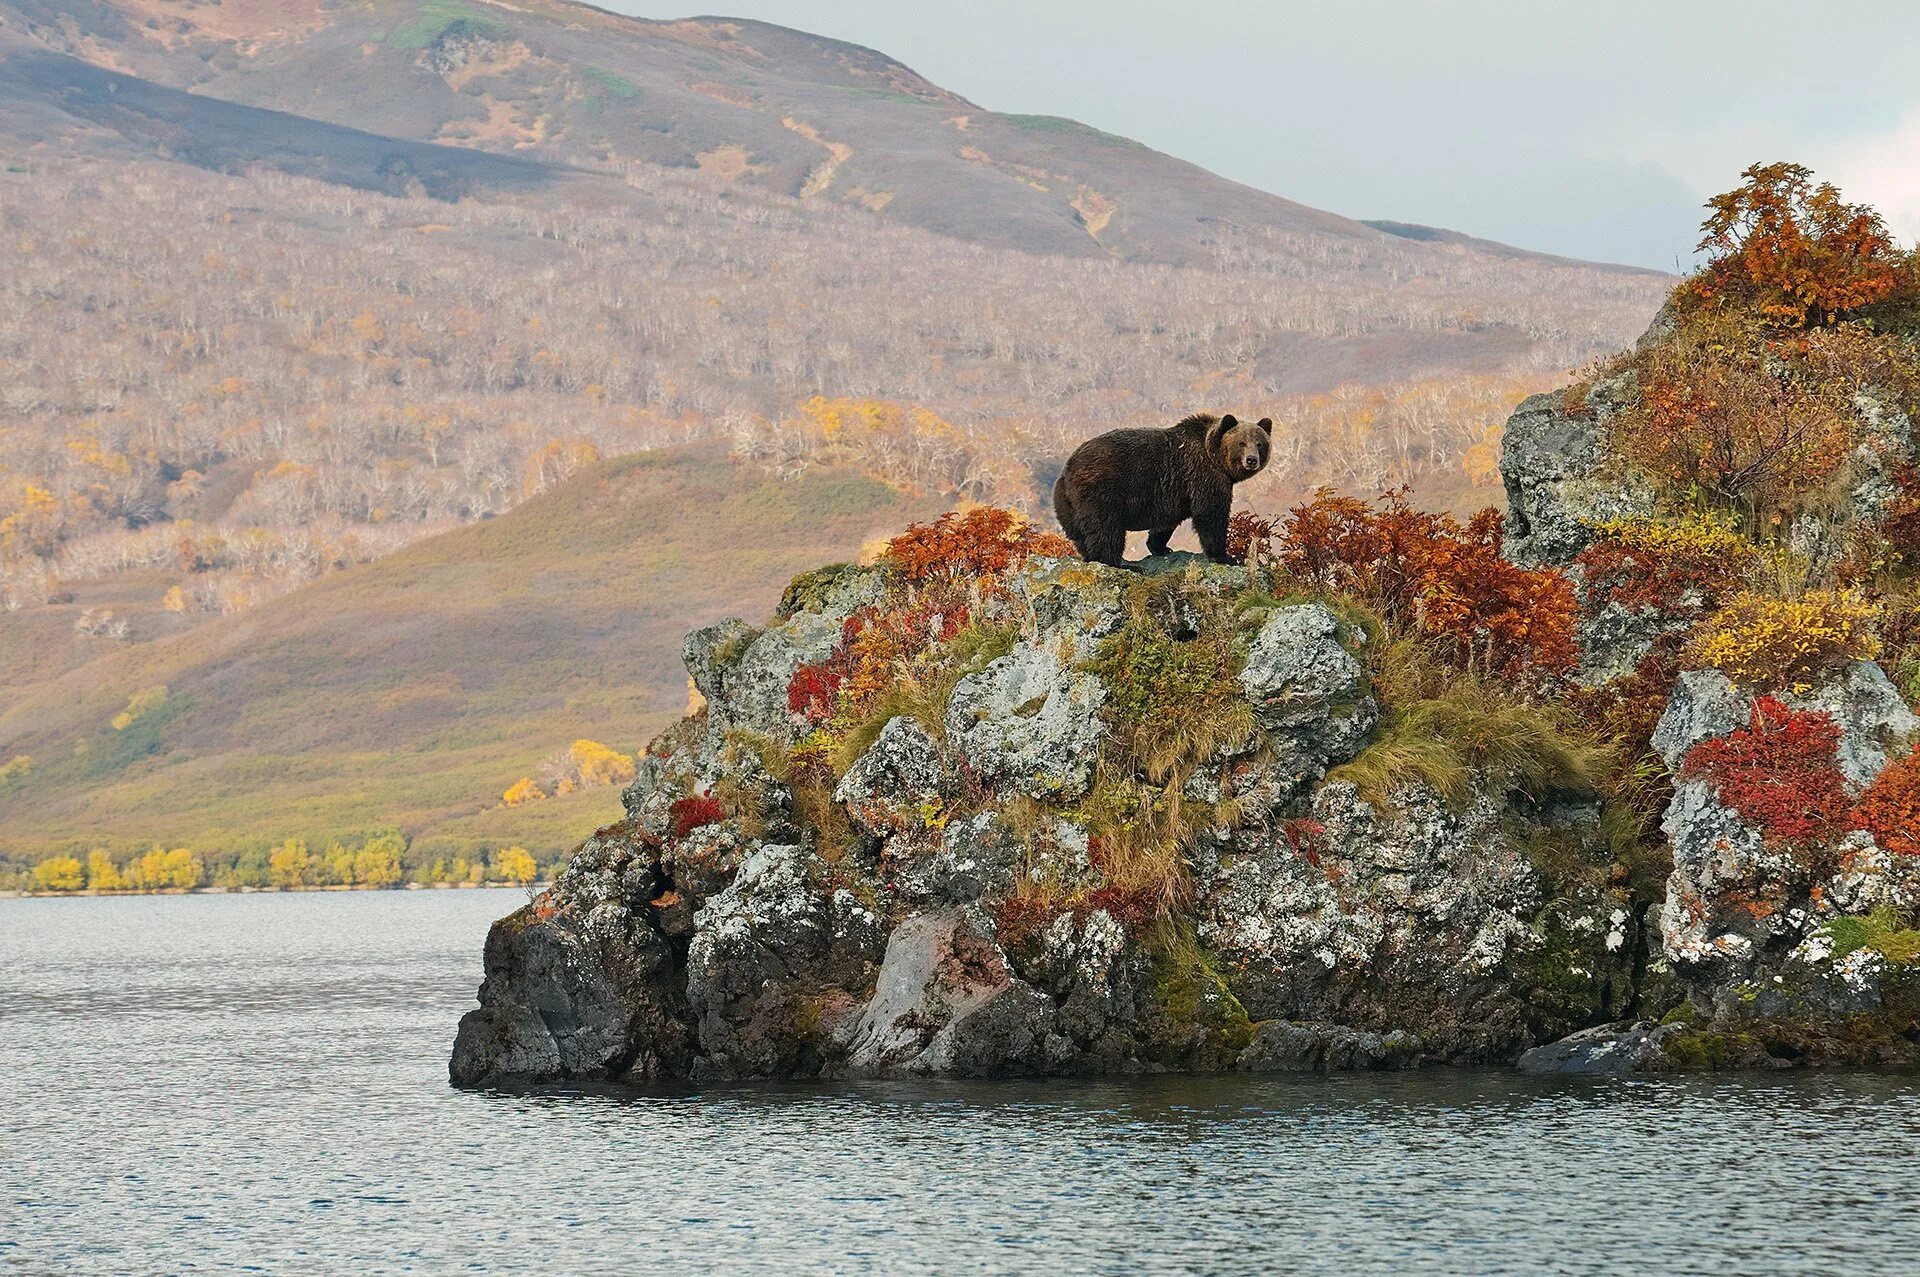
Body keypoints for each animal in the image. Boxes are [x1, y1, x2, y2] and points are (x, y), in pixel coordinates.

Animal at [1052, 410, 1274, 564]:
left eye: (1260, 443)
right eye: (1241, 443)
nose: (1252, 460)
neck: (1215, 457)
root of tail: (1067, 470)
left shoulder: (1173, 492)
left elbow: (1166, 522)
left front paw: (1161, 547)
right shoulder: (1203, 474)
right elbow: (1210, 514)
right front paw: (1225, 556)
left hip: (1067, 505)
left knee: (1079, 534)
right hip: (1101, 490)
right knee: (1105, 528)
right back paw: (1118, 562)